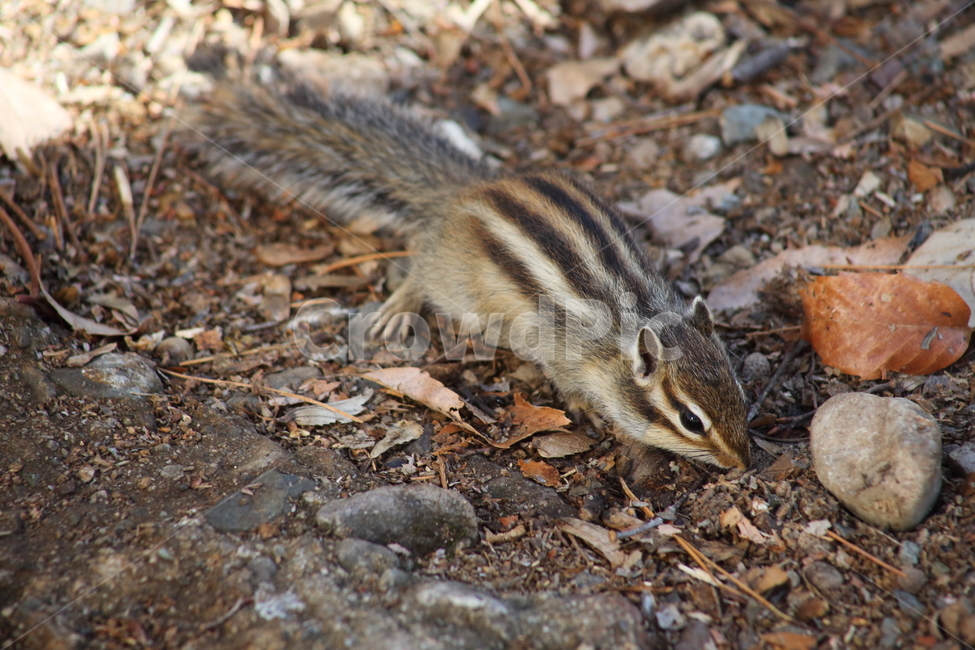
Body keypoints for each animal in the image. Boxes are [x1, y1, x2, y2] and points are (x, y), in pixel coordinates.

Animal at [185, 72, 751, 470]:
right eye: (691, 421)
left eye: (741, 394)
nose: (743, 465)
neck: (633, 323)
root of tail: (463, 193)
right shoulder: (564, 354)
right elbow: (567, 385)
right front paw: (587, 409)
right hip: (456, 287)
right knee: (420, 267)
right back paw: (399, 307)